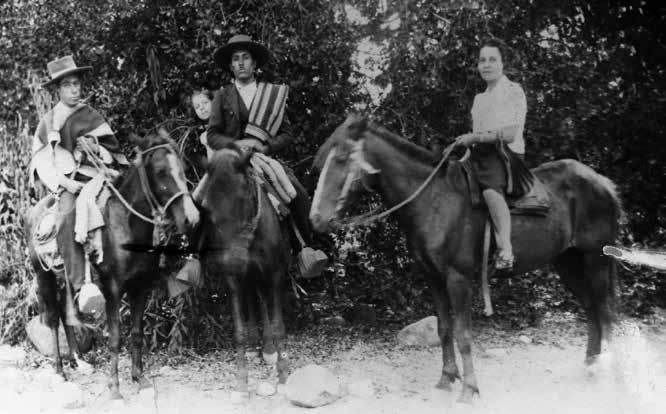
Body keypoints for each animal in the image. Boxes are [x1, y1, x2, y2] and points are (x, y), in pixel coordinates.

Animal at [26, 130, 200, 398]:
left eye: (182, 168)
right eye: (160, 171)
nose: (191, 218)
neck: (126, 225)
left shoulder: (141, 286)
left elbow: (137, 334)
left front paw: (140, 378)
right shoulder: (113, 290)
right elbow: (116, 338)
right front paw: (114, 387)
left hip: (66, 278)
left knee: (67, 315)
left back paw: (78, 361)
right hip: (43, 275)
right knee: (54, 318)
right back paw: (60, 371)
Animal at [196, 145, 291, 401]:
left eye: (245, 199)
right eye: (206, 208)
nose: (235, 261)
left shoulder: (275, 273)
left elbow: (279, 325)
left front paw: (283, 376)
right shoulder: (234, 279)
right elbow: (238, 330)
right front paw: (241, 383)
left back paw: (268, 349)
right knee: (253, 298)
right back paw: (255, 345)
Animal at [309, 115, 621, 402]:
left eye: (341, 159)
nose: (316, 218)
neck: (434, 201)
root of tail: (602, 183)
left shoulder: (458, 279)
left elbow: (463, 334)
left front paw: (469, 388)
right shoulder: (433, 278)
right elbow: (444, 329)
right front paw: (447, 378)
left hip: (596, 260)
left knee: (605, 313)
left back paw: (608, 370)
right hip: (568, 263)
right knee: (591, 310)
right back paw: (590, 366)